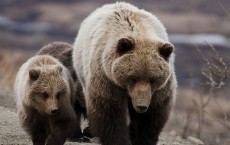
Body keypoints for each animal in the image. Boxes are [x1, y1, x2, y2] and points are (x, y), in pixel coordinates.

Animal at [73, 1, 177, 145]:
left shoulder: (159, 89)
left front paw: (142, 139)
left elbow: (152, 114)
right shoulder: (106, 78)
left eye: (153, 79)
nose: (141, 106)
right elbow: (109, 111)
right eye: (133, 77)